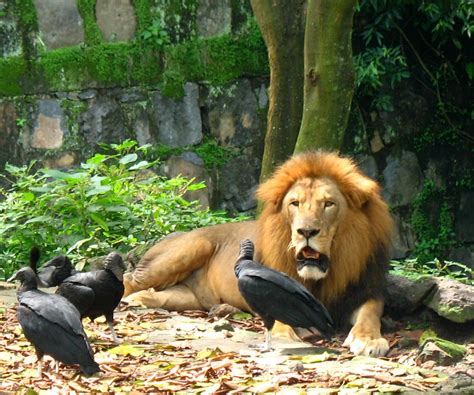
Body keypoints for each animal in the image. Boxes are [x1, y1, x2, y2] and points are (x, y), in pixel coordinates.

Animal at [122, 150, 392, 358]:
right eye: (294, 203)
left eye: (329, 204)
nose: (306, 231)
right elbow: (280, 317)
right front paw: (291, 335)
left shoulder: (365, 290)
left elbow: (371, 313)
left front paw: (369, 340)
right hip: (193, 246)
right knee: (128, 279)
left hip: (187, 296)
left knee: (157, 294)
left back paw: (140, 300)